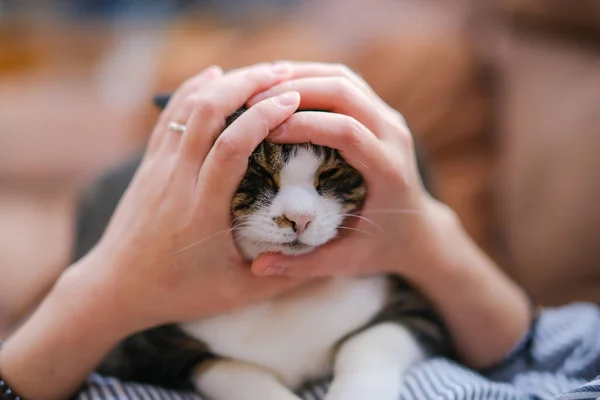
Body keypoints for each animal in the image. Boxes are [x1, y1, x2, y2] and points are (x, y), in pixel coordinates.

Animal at [76, 104, 450, 400]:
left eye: (330, 173)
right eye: (258, 171)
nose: (300, 218)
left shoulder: (417, 308)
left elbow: (371, 341)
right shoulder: (133, 349)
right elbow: (234, 372)